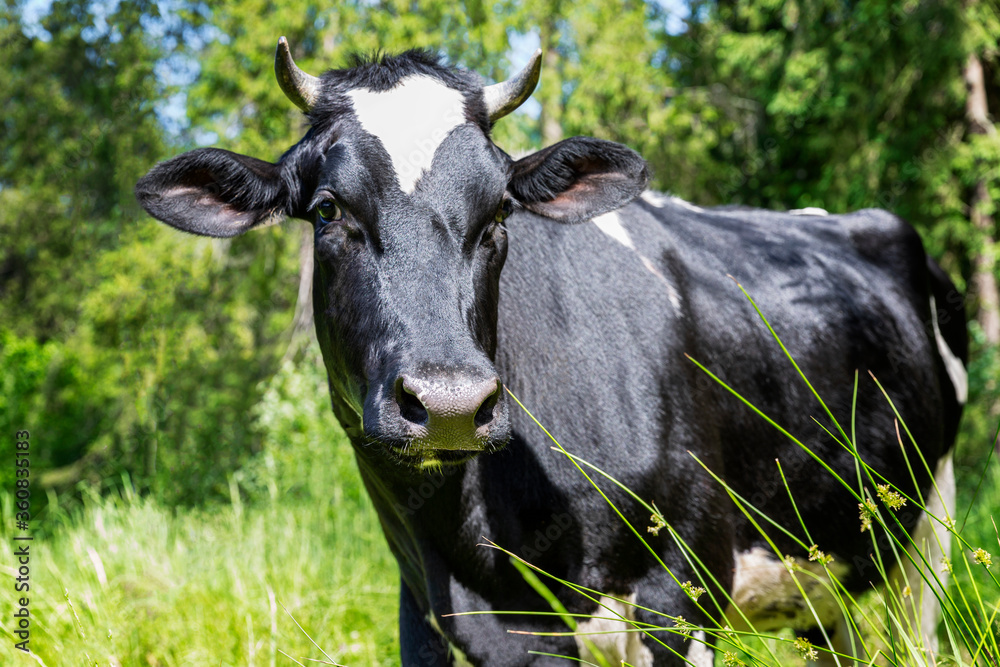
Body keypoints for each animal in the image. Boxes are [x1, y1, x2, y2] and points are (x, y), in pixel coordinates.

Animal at [137, 39, 964, 664]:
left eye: (500, 210)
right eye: (327, 210)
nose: (448, 403)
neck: (478, 538)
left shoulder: (682, 587)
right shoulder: (429, 614)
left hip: (924, 543)